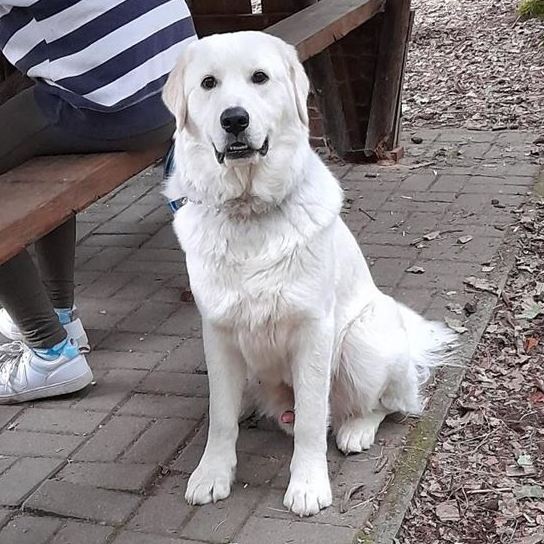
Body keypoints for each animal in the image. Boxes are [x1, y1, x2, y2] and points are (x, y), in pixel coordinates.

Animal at [162, 31, 455, 517]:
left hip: (360, 343)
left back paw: (357, 429)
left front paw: (308, 484)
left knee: (392, 404)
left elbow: (313, 422)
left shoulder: (314, 331)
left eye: (260, 78)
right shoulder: (218, 333)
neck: (249, 213)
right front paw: (212, 474)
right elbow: (220, 417)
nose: (234, 119)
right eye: (208, 83)